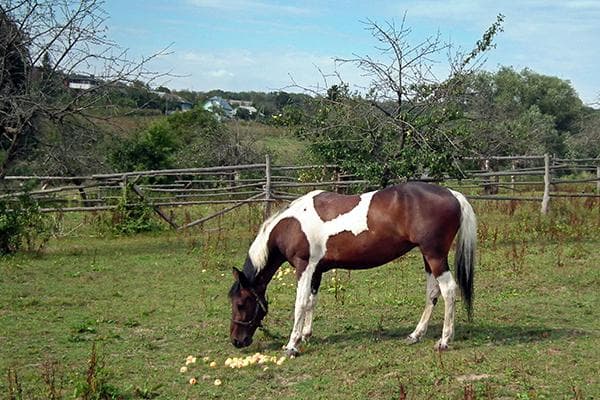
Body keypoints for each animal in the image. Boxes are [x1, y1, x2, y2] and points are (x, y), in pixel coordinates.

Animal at [227, 182, 476, 356]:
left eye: (240, 304)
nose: (236, 341)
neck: (291, 225)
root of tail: (453, 194)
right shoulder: (317, 271)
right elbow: (311, 301)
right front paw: (306, 335)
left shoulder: (304, 267)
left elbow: (300, 304)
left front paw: (291, 345)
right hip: (428, 257)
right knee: (432, 293)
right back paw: (416, 334)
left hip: (435, 256)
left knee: (448, 291)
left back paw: (444, 340)